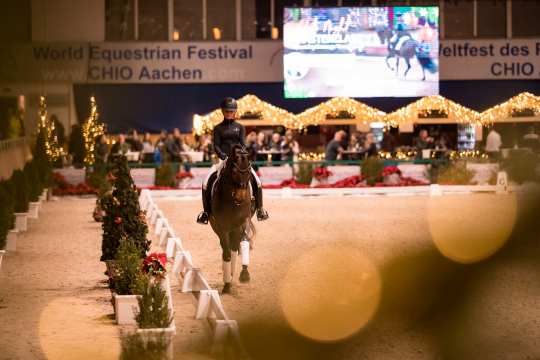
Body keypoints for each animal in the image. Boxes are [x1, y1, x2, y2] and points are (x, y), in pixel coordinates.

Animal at [209, 143, 255, 292]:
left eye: (249, 171)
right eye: (234, 172)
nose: (241, 197)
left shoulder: (242, 222)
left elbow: (239, 245)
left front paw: (239, 274)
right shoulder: (222, 227)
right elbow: (227, 253)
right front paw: (227, 284)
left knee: (238, 244)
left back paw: (238, 273)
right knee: (227, 248)